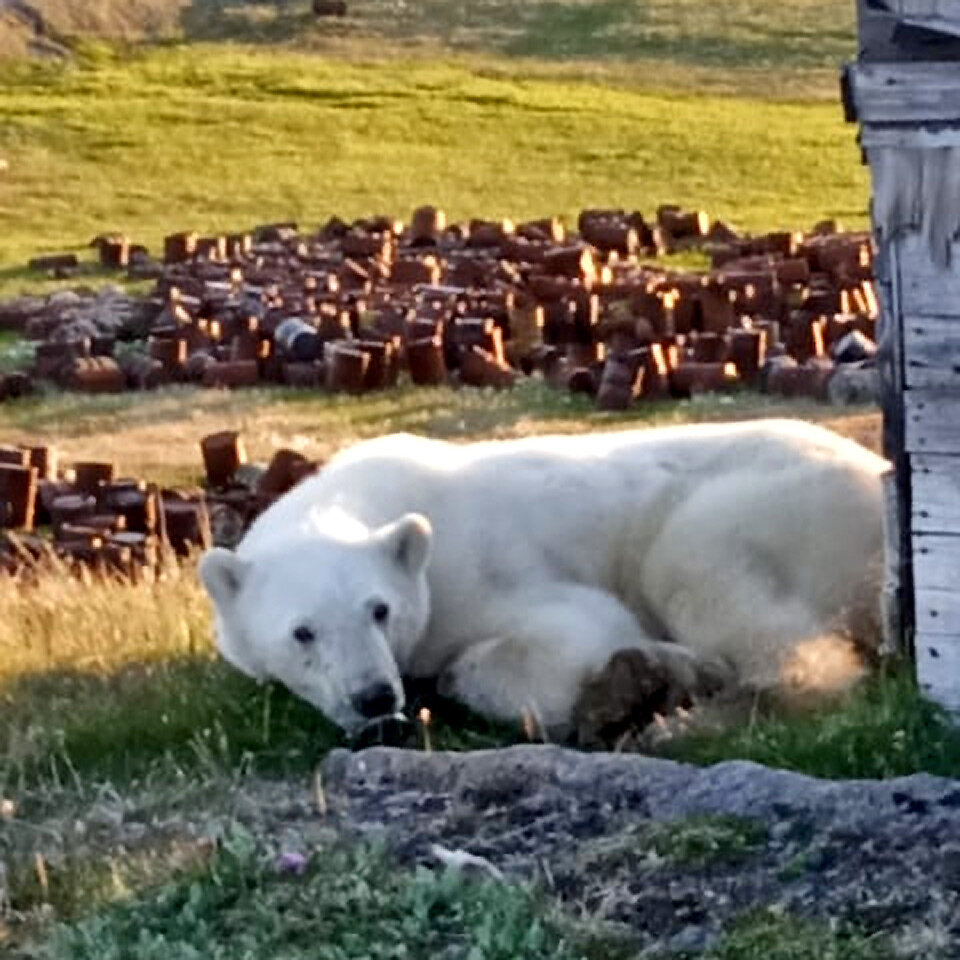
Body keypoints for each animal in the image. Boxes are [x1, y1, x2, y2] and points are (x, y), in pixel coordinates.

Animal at [199, 416, 888, 740]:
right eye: (302, 632)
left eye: (379, 609)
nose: (373, 697)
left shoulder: (477, 570)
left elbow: (573, 630)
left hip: (770, 504)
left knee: (702, 573)